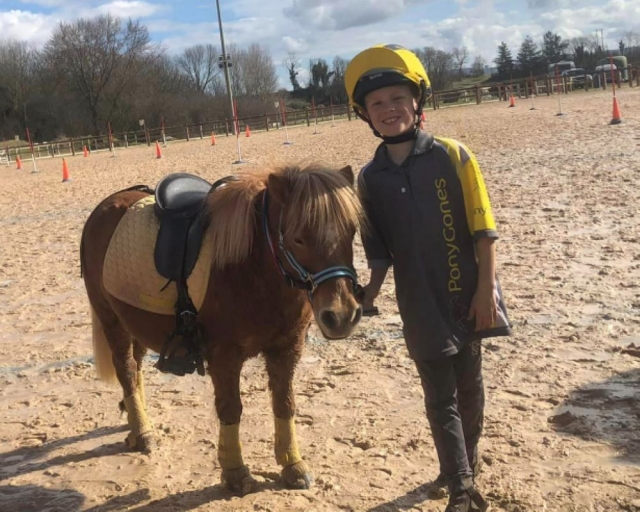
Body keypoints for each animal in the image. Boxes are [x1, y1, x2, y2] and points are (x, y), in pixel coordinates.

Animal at [80, 163, 365, 495]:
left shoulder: (287, 348)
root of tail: (105, 206)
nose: (341, 315)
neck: (253, 268)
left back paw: (137, 424)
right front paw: (235, 472)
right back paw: (143, 433)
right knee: (126, 369)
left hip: (133, 321)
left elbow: (285, 404)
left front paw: (292, 465)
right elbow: (231, 409)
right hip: (111, 320)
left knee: (135, 370)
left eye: (351, 231)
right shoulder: (225, 357)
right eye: (298, 239)